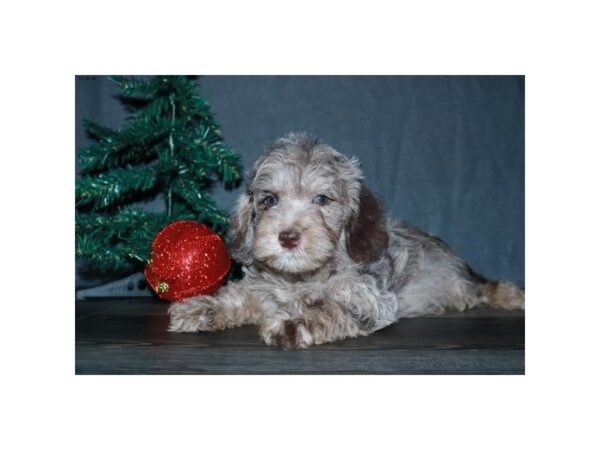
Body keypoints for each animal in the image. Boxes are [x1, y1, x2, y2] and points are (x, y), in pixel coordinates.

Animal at [166, 132, 524, 350]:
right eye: (269, 200)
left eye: (323, 200)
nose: (288, 236)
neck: (302, 279)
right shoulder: (262, 291)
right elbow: (237, 298)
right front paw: (203, 308)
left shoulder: (368, 298)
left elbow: (331, 307)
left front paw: (295, 322)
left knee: (483, 289)